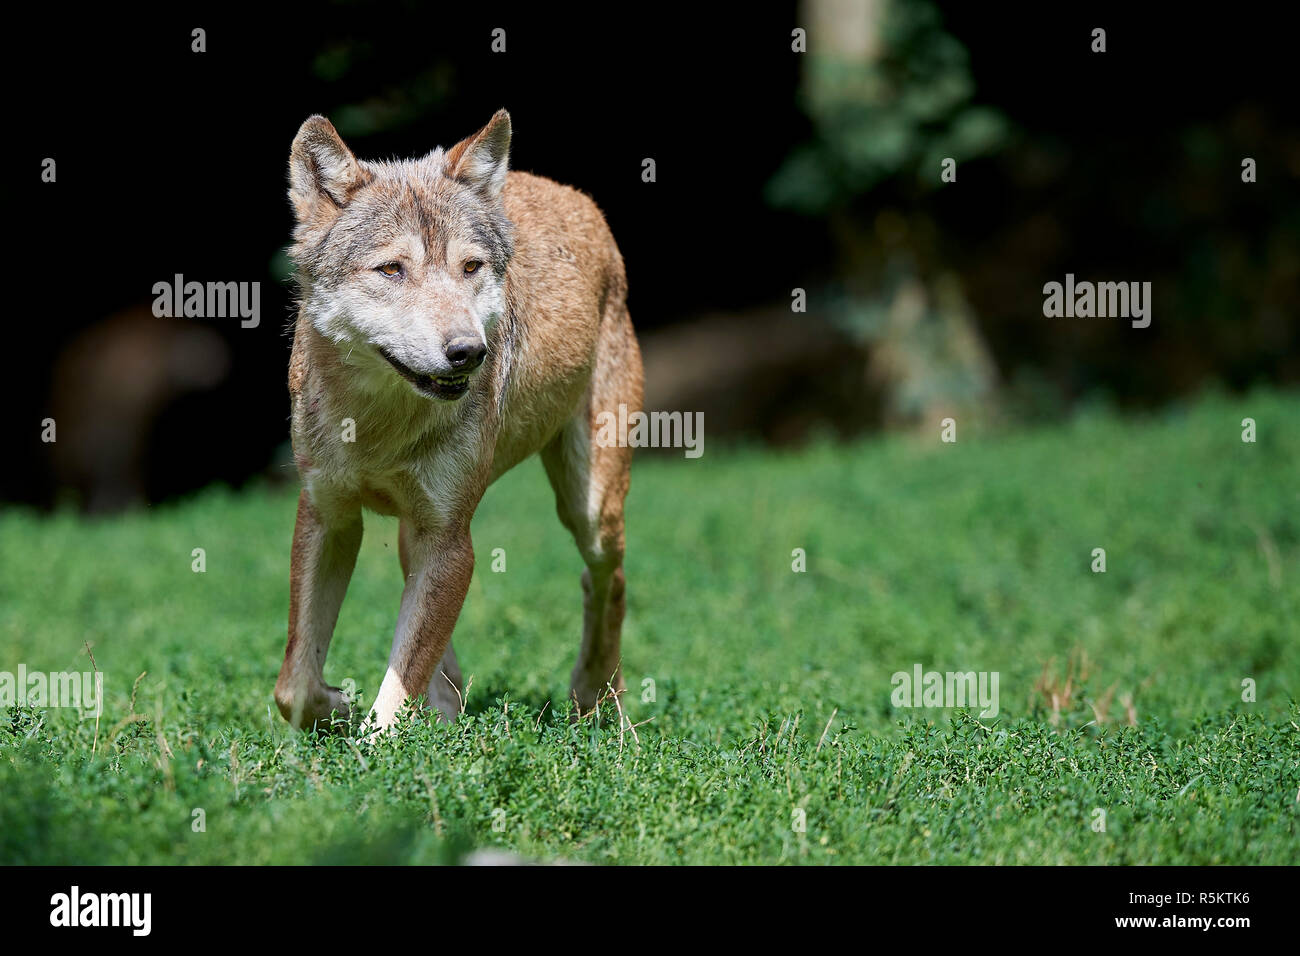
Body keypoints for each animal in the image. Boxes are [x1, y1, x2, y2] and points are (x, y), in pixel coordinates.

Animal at [274, 110, 643, 732]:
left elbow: (393, 695)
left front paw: (373, 737)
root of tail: (575, 196)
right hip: (414, 534)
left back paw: (597, 697)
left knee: (606, 579)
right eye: (392, 270)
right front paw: (339, 705)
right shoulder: (328, 515)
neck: (378, 428)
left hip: (589, 512)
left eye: (470, 267)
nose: (468, 352)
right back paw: (448, 709)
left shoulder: (450, 539)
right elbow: (295, 686)